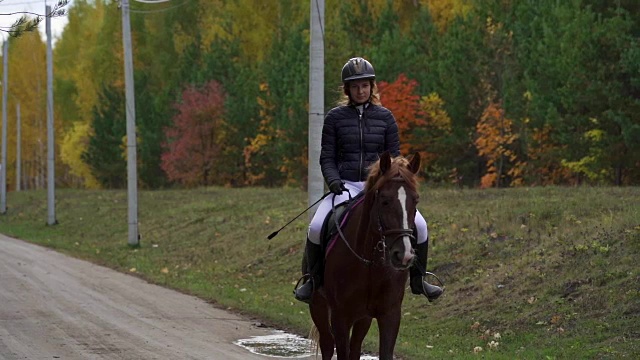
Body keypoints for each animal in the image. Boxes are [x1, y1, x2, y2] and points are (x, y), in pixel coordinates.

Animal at [308, 151, 420, 360]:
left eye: (415, 200)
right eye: (385, 200)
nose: (404, 255)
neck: (371, 263)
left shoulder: (390, 315)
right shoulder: (340, 316)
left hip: (363, 318)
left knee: (355, 347)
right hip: (318, 305)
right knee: (327, 343)